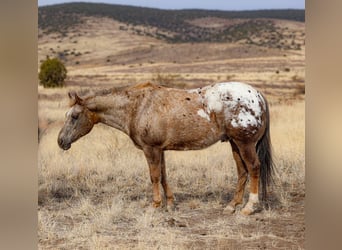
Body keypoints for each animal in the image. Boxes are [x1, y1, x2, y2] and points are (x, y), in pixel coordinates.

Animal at [57, 82, 274, 215]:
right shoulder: (159, 150)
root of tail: (258, 95)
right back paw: (231, 206)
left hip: (245, 144)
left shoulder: (150, 149)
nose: (61, 141)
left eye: (74, 116)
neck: (138, 107)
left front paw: (155, 205)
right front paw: (169, 203)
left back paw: (249, 207)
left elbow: (154, 176)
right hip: (234, 144)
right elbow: (163, 175)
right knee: (242, 172)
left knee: (254, 168)